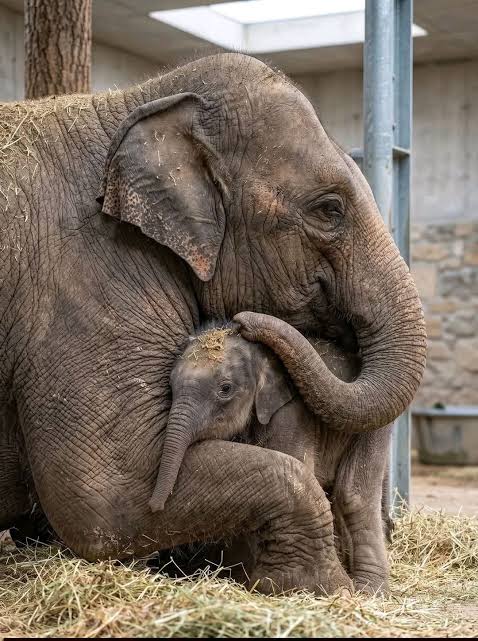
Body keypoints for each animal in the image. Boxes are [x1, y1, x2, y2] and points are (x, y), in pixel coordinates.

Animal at [149, 321, 390, 594]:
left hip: (373, 424)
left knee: (353, 495)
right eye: (170, 385)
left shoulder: (290, 416)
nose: (155, 507)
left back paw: (370, 590)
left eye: (225, 389)